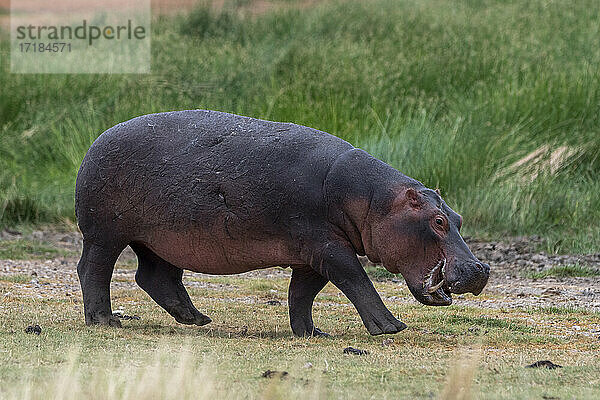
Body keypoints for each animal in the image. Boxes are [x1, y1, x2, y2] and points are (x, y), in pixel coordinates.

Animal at [76, 108, 488, 334]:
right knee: (93, 269)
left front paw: (313, 333)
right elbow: (356, 280)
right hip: (106, 233)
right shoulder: (328, 246)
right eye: (437, 220)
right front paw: (391, 327)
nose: (478, 269)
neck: (374, 201)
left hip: (160, 239)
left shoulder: (311, 255)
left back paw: (198, 319)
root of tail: (95, 141)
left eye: (458, 218)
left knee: (155, 276)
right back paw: (105, 321)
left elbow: (302, 294)